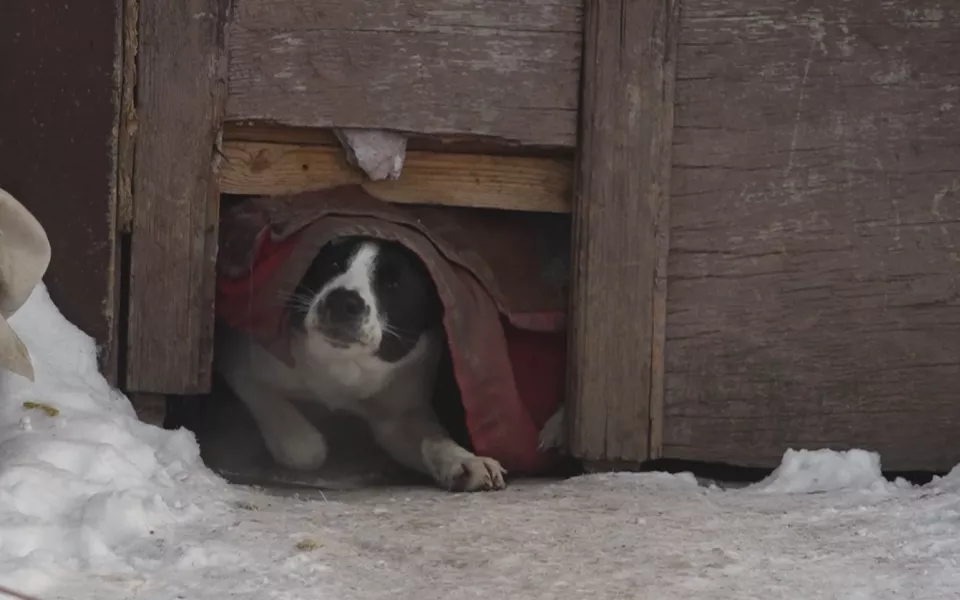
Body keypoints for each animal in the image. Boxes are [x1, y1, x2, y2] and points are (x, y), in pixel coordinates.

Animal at [214, 234, 506, 492]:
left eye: (394, 284)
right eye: (332, 264)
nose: (342, 300)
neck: (342, 367)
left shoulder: (399, 416)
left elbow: (434, 439)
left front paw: (467, 461)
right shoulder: (240, 361)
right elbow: (302, 445)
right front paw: (301, 438)